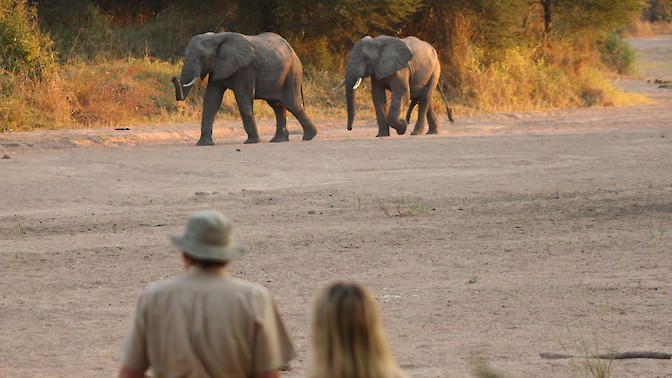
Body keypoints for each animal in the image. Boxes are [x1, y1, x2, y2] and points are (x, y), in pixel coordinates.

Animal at [173, 31, 320, 145]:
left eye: (203, 57)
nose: (173, 78)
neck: (216, 37)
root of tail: (293, 51)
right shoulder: (217, 68)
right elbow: (211, 100)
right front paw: (203, 144)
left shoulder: (245, 69)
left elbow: (242, 99)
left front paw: (252, 142)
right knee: (277, 106)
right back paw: (279, 140)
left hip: (293, 71)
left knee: (291, 104)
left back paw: (309, 137)